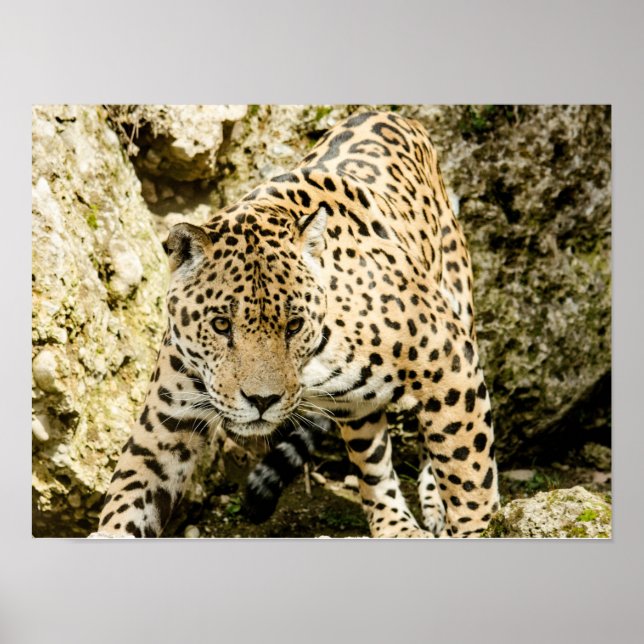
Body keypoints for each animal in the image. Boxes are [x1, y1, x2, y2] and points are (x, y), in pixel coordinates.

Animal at [93, 110, 500, 538]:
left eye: (293, 325)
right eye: (220, 325)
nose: (261, 401)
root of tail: (392, 113)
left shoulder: (450, 362)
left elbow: (468, 472)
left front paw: (480, 528)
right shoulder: (166, 423)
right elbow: (130, 493)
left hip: (459, 301)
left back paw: (433, 506)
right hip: (356, 406)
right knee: (372, 462)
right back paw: (395, 527)